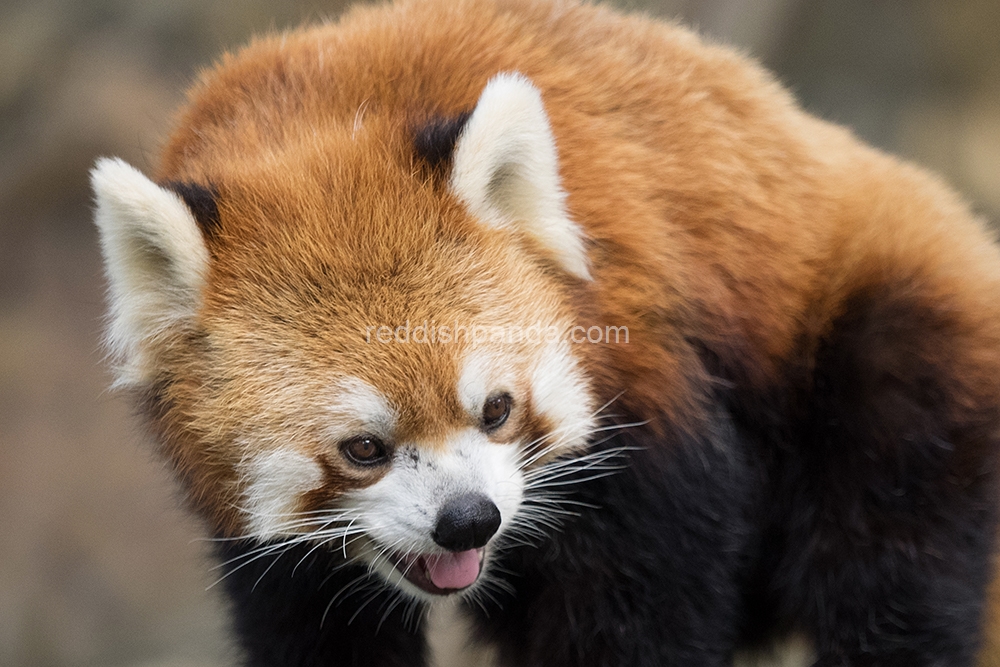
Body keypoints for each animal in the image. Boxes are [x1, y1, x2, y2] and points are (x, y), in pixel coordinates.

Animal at [88, 1, 1000, 667]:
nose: (468, 520)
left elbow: (640, 605)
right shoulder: (268, 554)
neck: (323, 123)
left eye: (496, 408)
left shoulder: (650, 408)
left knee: (889, 569)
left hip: (888, 357)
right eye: (363, 448)